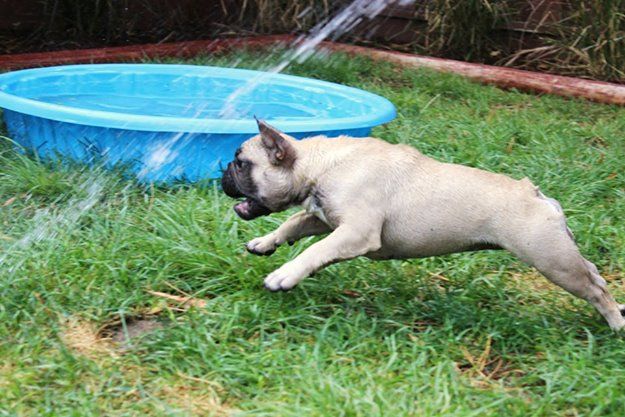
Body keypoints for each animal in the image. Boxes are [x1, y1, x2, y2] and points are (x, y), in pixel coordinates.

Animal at [222, 118, 620, 330]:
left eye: (241, 163)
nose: (224, 171)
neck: (319, 164)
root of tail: (537, 195)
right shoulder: (325, 218)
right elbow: (294, 223)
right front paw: (266, 242)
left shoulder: (355, 233)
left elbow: (315, 250)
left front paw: (285, 275)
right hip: (560, 252)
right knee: (593, 273)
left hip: (550, 259)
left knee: (594, 289)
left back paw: (616, 323)